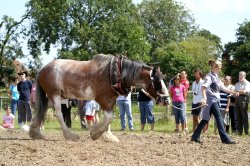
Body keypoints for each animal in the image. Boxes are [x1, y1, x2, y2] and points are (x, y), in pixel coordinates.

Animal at [29, 54, 170, 141]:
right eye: (157, 82)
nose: (167, 100)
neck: (115, 73)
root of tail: (42, 70)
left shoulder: (110, 101)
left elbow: (108, 118)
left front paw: (106, 134)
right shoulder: (102, 99)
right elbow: (109, 117)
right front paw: (95, 133)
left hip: (51, 97)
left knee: (42, 109)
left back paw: (35, 132)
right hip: (55, 94)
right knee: (58, 114)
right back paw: (70, 135)